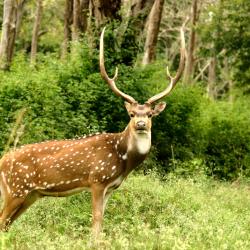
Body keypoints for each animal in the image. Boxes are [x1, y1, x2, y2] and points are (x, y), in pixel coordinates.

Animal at [0, 25, 186, 238]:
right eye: (131, 114)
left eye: (149, 114)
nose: (140, 124)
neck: (123, 158)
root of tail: (2, 161)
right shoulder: (97, 179)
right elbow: (96, 220)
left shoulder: (112, 187)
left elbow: (102, 219)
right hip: (15, 189)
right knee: (2, 220)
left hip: (31, 194)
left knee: (7, 224)